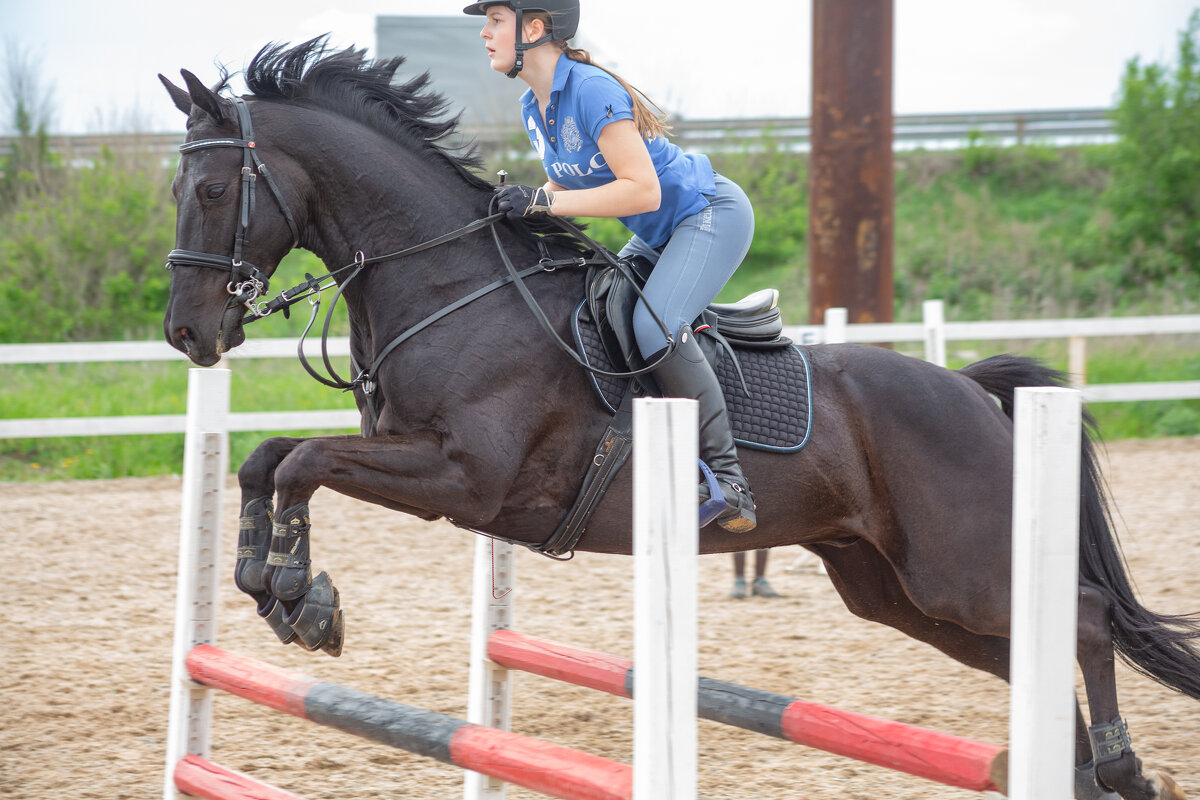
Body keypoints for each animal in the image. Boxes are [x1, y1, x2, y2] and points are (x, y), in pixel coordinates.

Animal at [159, 38, 1200, 800]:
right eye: (177, 191)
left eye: (211, 190)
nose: (189, 334)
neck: (451, 284)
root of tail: (971, 393)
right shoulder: (411, 460)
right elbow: (268, 459)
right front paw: (268, 581)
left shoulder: (464, 478)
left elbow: (304, 463)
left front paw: (302, 598)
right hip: (894, 588)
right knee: (1031, 653)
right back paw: (1086, 774)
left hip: (960, 569)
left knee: (1085, 618)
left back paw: (1119, 764)